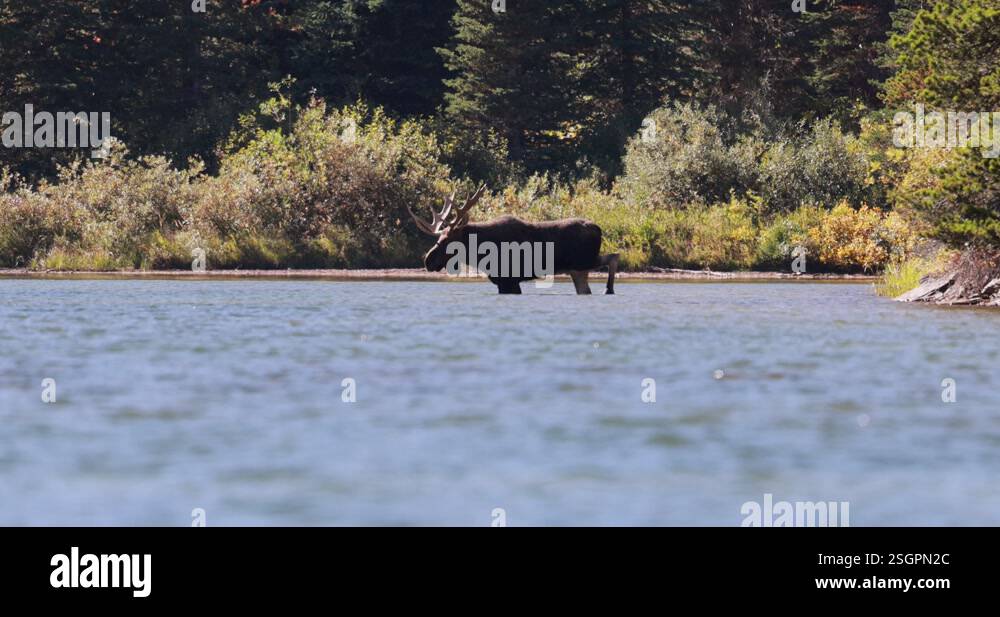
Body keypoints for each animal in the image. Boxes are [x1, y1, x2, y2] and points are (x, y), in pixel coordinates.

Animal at [408, 185, 619, 295]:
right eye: (440, 237)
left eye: (449, 240)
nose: (428, 260)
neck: (482, 257)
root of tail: (598, 229)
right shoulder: (502, 282)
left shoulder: (510, 279)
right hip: (577, 268)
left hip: (583, 261)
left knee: (613, 256)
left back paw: (608, 289)